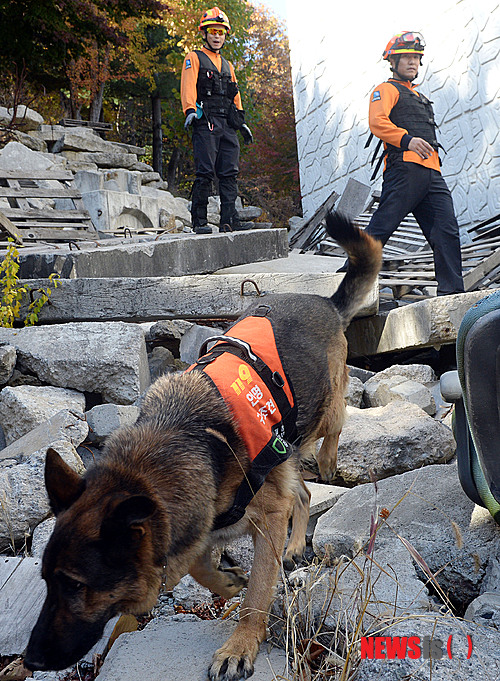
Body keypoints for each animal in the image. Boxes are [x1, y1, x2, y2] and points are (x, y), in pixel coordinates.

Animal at [24, 212, 382, 680]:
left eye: (75, 585)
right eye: (47, 582)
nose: (29, 660)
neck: (185, 438)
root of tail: (323, 302)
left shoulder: (266, 519)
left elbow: (256, 597)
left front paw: (240, 647)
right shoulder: (203, 524)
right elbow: (198, 563)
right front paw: (225, 581)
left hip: (321, 412)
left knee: (335, 427)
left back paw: (326, 461)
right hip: (287, 456)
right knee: (301, 492)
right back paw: (294, 545)